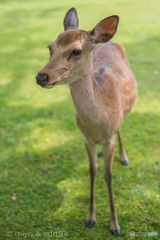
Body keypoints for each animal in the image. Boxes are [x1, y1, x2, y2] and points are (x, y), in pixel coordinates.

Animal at [36, 7, 138, 236]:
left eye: (76, 51)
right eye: (50, 47)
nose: (41, 77)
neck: (98, 124)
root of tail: (107, 42)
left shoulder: (109, 137)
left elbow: (108, 175)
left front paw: (115, 225)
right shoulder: (85, 138)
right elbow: (93, 171)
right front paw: (90, 218)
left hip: (123, 115)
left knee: (121, 128)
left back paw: (124, 157)